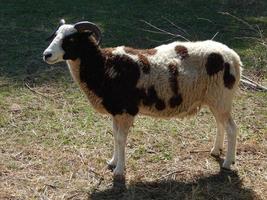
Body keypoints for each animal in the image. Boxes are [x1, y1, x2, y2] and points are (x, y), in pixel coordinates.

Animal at [43, 19, 242, 177]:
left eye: (71, 39)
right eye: (55, 35)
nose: (46, 55)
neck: (103, 66)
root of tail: (235, 57)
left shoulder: (126, 110)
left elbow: (121, 139)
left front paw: (119, 171)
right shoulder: (116, 110)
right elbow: (115, 135)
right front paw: (113, 161)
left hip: (221, 97)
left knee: (232, 128)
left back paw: (227, 163)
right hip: (215, 99)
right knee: (220, 123)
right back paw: (215, 151)